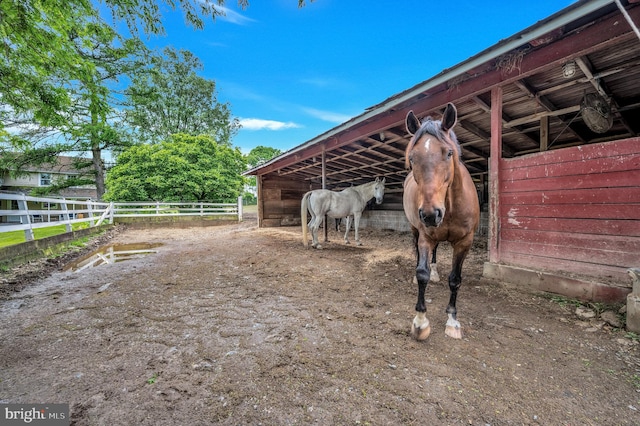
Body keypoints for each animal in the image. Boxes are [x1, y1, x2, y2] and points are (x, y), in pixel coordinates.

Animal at [402, 104, 478, 342]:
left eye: (449, 153)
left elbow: (455, 279)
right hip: (415, 230)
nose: (430, 215)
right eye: (412, 158)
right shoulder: (426, 236)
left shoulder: (465, 242)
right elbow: (422, 273)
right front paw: (420, 322)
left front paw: (452, 321)